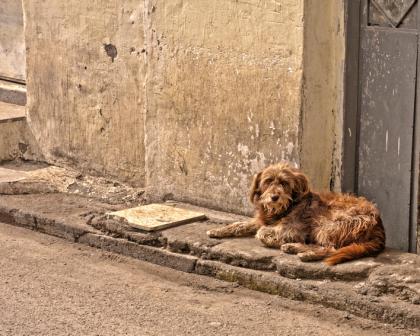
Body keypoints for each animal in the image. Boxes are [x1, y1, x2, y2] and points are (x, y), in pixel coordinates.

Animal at [205, 163, 386, 266]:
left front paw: (274, 240)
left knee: (330, 248)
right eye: (268, 181)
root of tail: (378, 225)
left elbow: (262, 233)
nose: (275, 197)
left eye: (284, 183)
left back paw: (302, 251)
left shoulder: (293, 229)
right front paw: (218, 230)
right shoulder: (263, 220)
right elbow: (240, 224)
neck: (285, 207)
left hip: (327, 224)